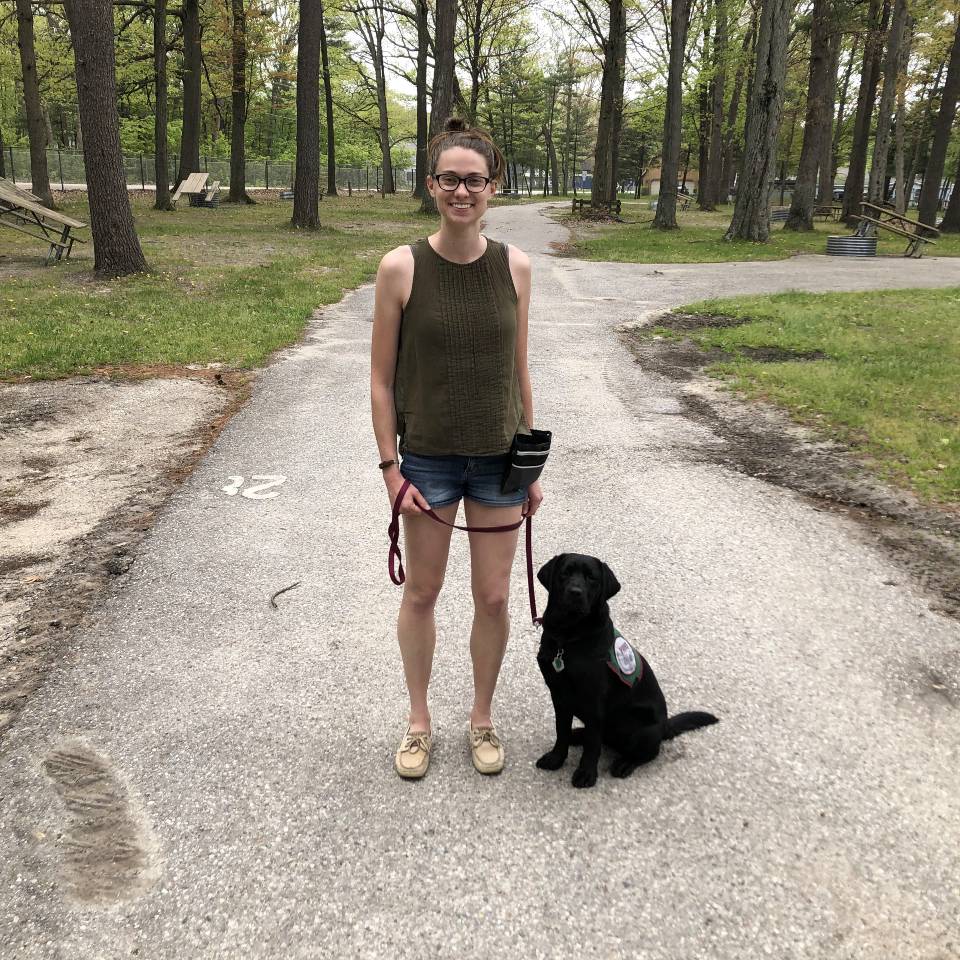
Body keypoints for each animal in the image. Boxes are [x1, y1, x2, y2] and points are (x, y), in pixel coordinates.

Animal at [536, 556, 716, 788]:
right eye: (564, 573)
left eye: (592, 578)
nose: (575, 592)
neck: (567, 638)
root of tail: (665, 725)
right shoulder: (559, 695)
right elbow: (562, 731)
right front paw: (556, 758)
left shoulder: (594, 701)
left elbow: (592, 744)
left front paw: (586, 773)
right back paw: (578, 735)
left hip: (639, 728)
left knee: (647, 752)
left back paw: (625, 763)